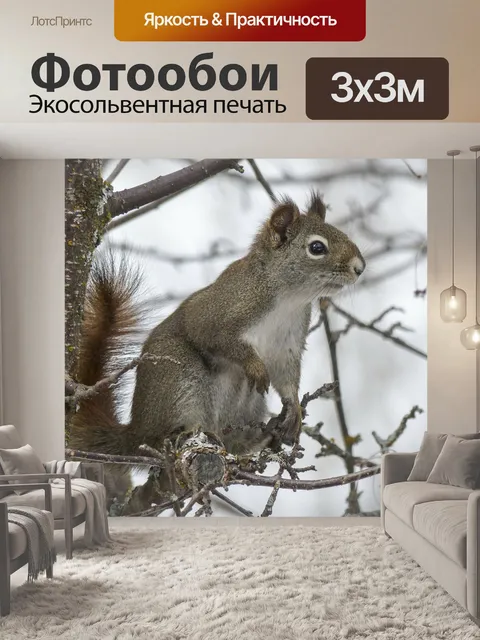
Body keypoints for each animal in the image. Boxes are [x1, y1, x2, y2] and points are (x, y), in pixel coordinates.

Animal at [69, 191, 365, 485]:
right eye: (317, 248)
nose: (360, 267)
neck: (289, 299)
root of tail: (136, 431)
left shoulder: (288, 344)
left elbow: (286, 376)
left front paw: (294, 409)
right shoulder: (216, 314)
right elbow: (219, 340)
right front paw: (255, 366)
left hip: (248, 404)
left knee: (233, 443)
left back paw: (262, 436)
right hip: (178, 379)